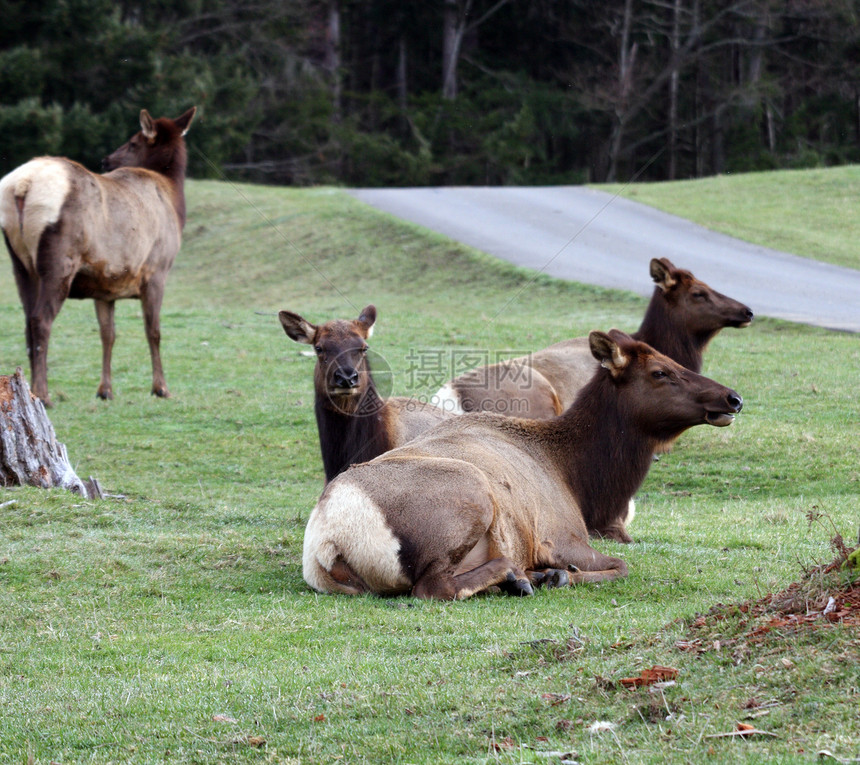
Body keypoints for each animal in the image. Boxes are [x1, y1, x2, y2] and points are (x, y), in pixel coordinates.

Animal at [0, 107, 197, 408]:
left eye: (132, 142)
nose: (107, 160)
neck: (175, 204)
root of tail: (23, 185)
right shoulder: (157, 270)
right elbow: (153, 331)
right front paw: (161, 388)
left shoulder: (105, 285)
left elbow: (108, 334)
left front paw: (105, 390)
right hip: (60, 259)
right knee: (41, 320)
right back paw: (44, 394)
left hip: (20, 263)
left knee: (27, 321)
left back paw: (32, 390)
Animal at [304, 328, 744, 596]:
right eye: (660, 371)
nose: (733, 397)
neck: (575, 475)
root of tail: (329, 539)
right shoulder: (563, 536)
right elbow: (621, 565)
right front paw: (558, 574)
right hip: (471, 491)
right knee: (434, 587)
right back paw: (517, 576)